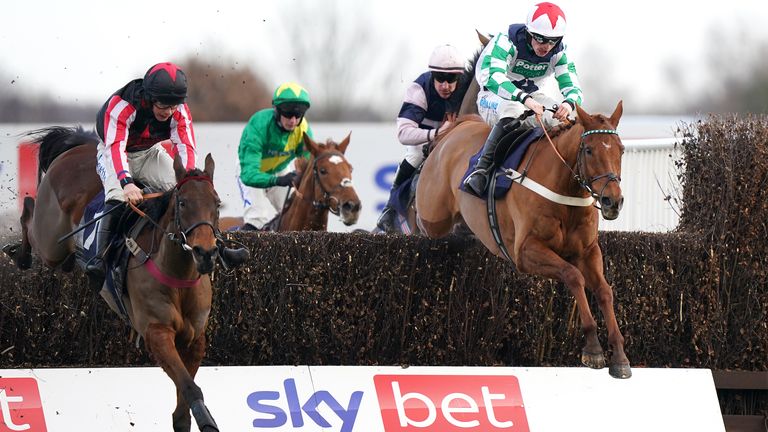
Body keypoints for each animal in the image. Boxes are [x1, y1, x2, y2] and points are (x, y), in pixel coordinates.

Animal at [416, 101, 632, 378]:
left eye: (621, 150)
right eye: (589, 150)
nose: (612, 201)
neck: (564, 190)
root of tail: (457, 127)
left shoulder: (587, 250)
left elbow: (604, 290)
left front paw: (620, 356)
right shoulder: (525, 252)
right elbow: (574, 276)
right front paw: (593, 348)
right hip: (433, 217)